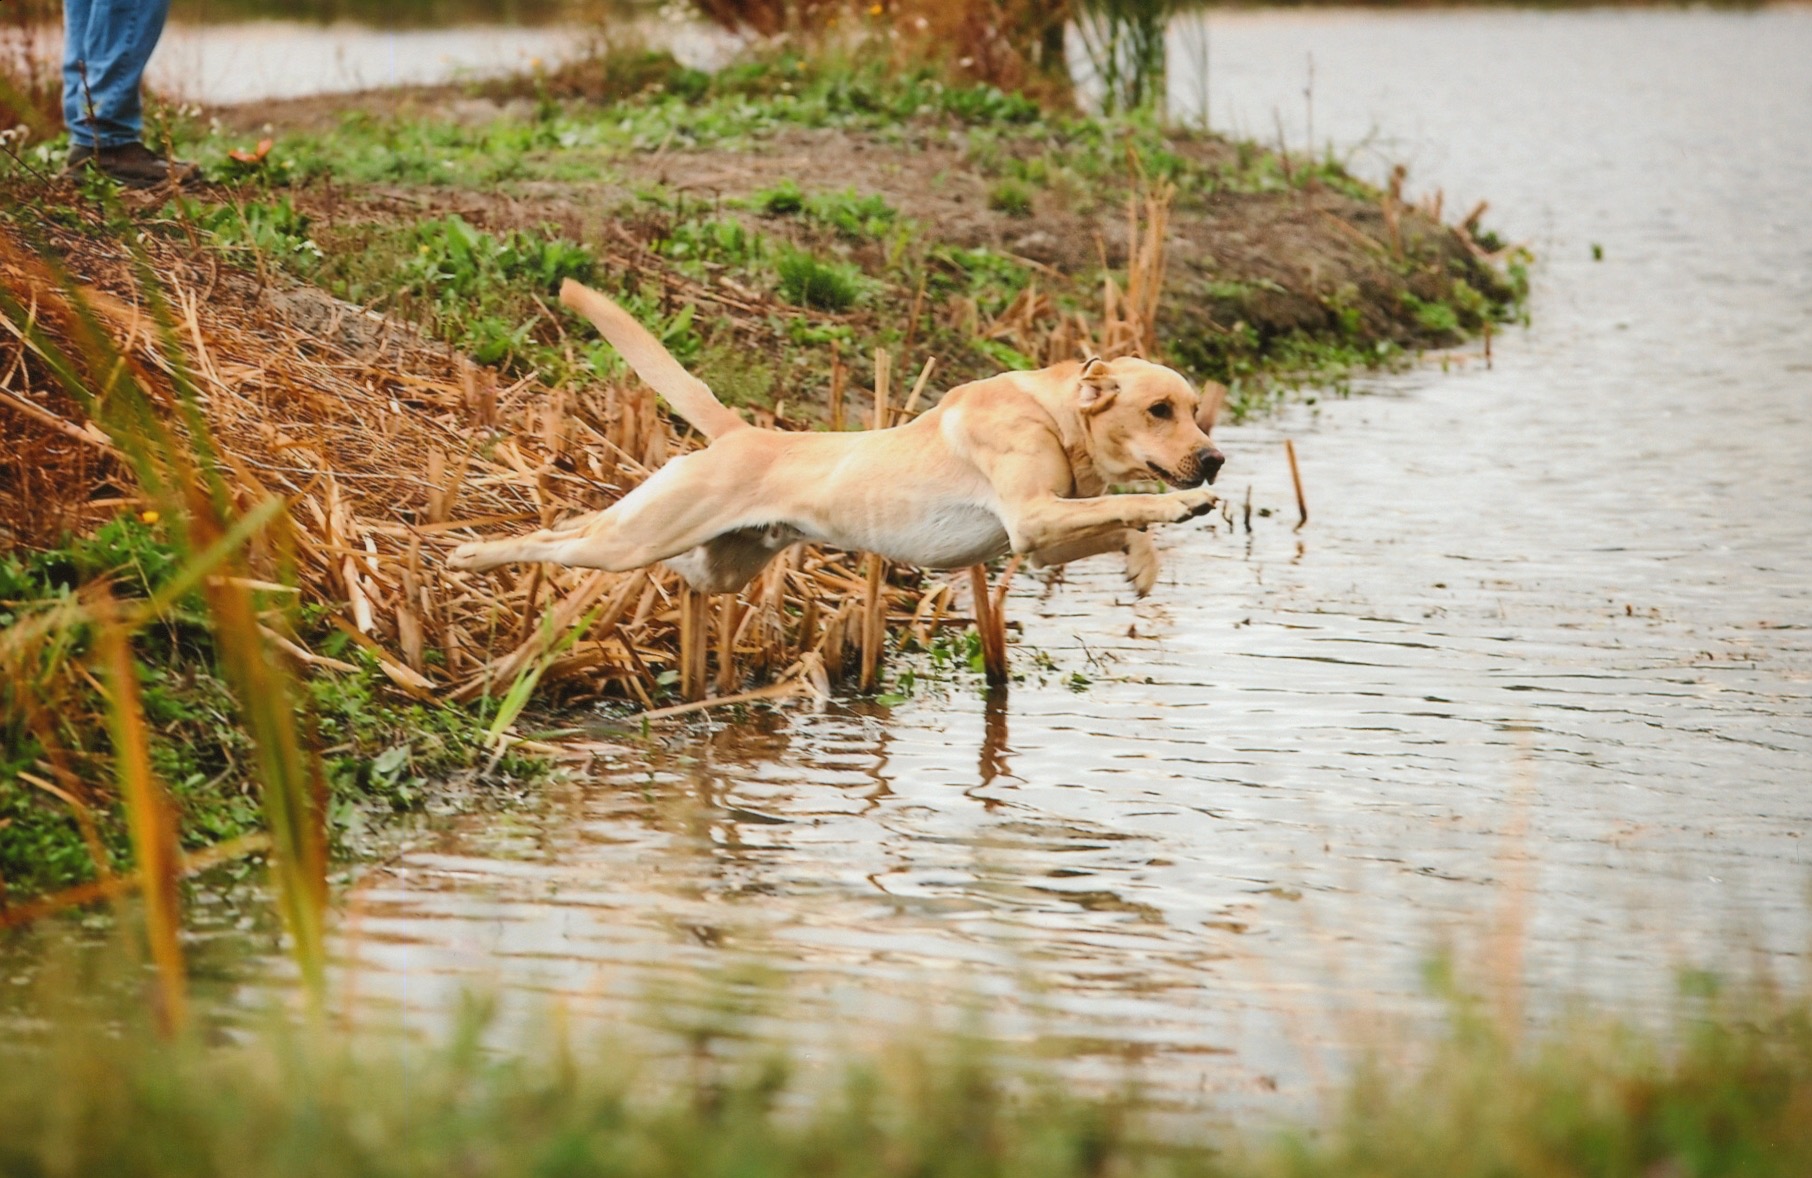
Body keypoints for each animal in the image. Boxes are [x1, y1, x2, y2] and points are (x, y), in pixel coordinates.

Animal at [445, 277, 1224, 598]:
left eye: (1195, 408)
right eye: (1159, 410)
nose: (1215, 460)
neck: (1055, 414)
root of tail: (742, 433)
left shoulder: (1035, 541)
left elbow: (1117, 524)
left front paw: (1142, 564)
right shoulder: (1032, 517)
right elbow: (1135, 506)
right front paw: (1180, 507)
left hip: (709, 564)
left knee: (598, 540)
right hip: (634, 539)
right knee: (556, 538)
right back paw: (468, 554)